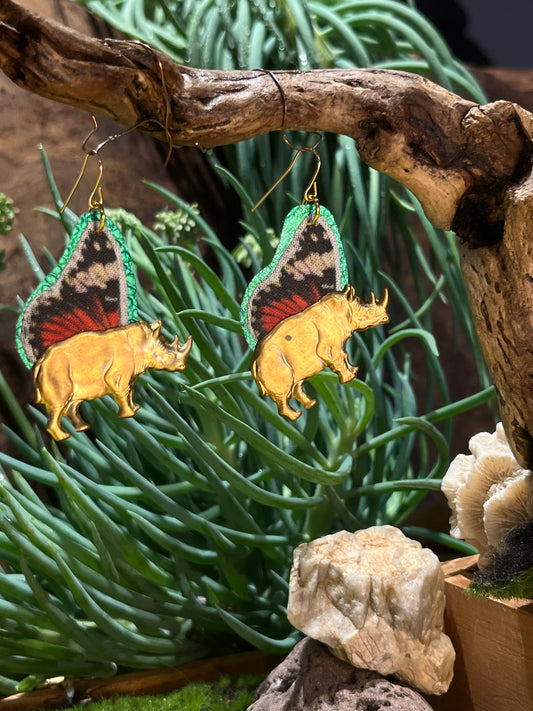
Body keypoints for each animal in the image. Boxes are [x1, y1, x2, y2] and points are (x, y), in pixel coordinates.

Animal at [34, 320, 192, 440]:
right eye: (169, 356)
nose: (183, 366)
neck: (143, 344)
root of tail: (41, 362)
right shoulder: (117, 374)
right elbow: (123, 392)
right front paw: (128, 414)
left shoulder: (130, 375)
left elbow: (129, 391)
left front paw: (135, 408)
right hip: (57, 371)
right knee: (59, 404)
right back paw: (64, 436)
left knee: (73, 402)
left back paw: (83, 427)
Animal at [251, 285, 389, 420]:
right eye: (370, 312)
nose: (386, 318)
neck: (347, 309)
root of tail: (255, 361)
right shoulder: (328, 344)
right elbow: (338, 359)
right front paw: (349, 378)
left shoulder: (339, 340)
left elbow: (344, 355)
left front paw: (354, 370)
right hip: (273, 361)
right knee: (284, 390)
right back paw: (295, 416)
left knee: (296, 383)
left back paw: (310, 404)